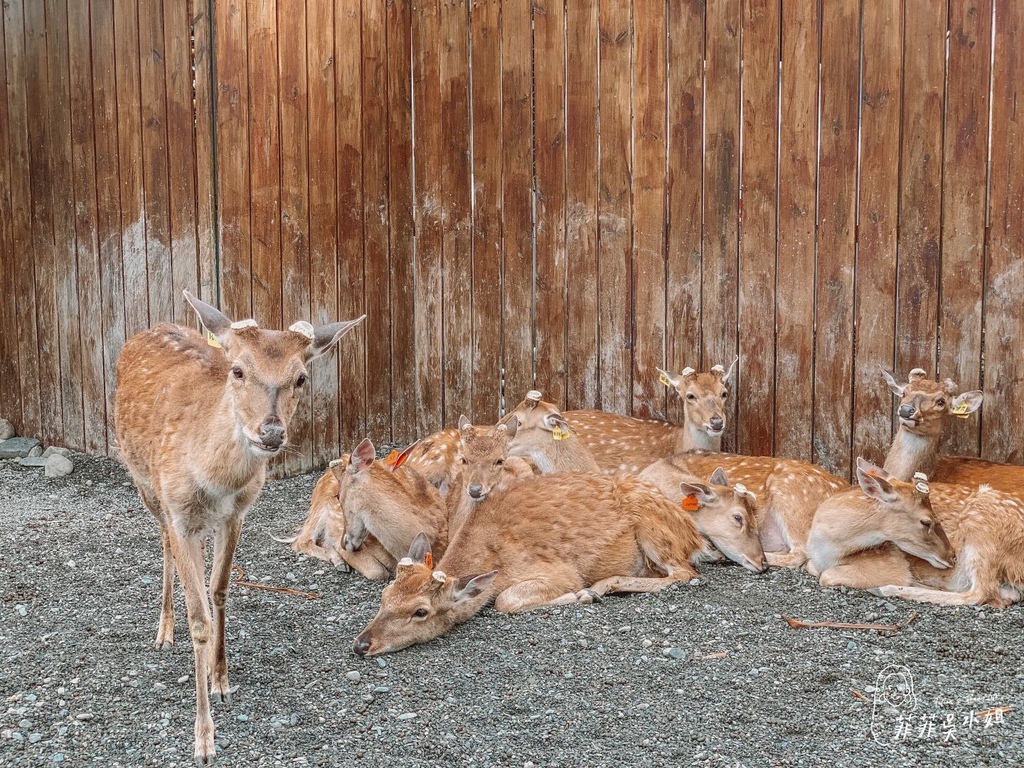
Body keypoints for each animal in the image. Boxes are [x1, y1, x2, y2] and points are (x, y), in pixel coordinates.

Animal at [115, 290, 364, 765]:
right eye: (238, 370)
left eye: (301, 377)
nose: (270, 433)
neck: (215, 480)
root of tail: (148, 328)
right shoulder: (180, 512)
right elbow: (198, 618)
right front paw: (204, 738)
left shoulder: (237, 514)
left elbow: (220, 591)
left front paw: (222, 680)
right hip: (143, 483)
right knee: (161, 541)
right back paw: (163, 631)